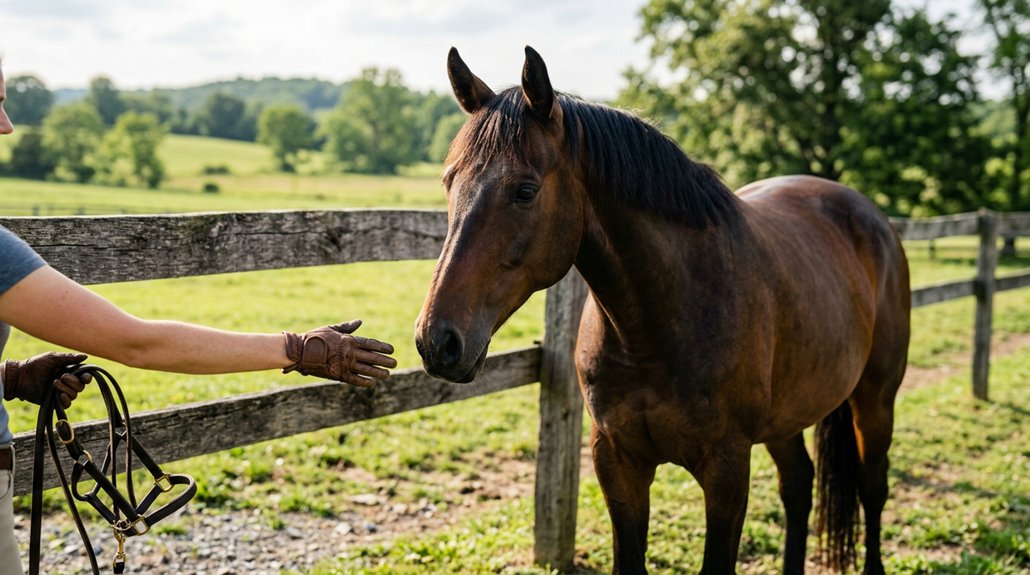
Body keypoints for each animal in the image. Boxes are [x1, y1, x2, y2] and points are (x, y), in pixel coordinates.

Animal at [415, 46, 911, 575]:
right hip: (787, 416)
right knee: (798, 485)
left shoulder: (727, 470)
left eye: (525, 190)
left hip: (875, 400)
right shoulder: (617, 462)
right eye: (449, 181)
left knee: (872, 487)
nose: (436, 341)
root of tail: (868, 214)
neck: (658, 327)